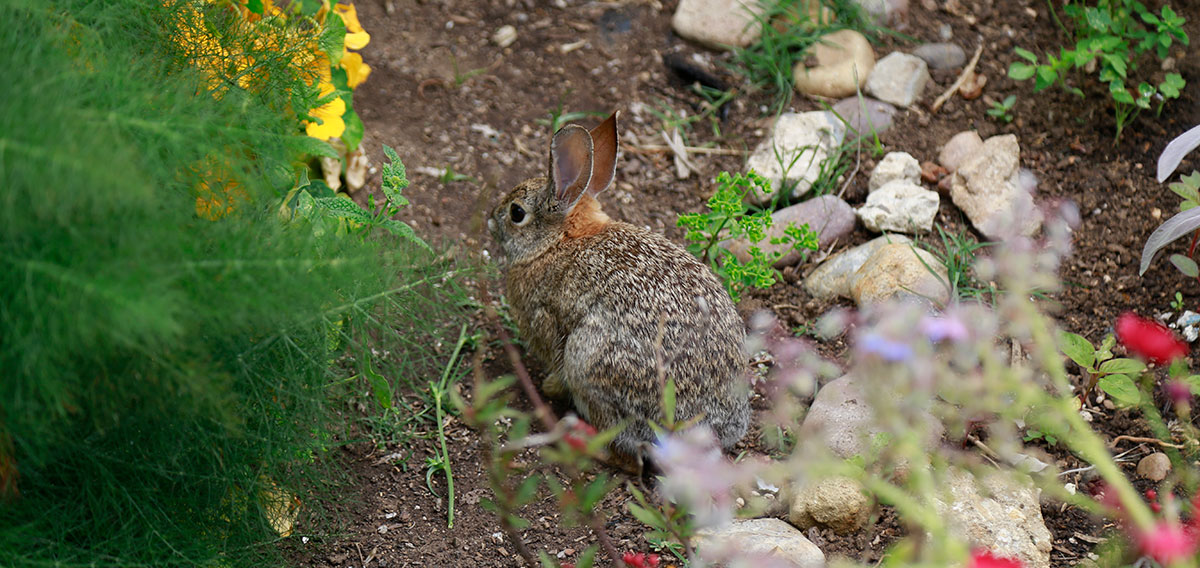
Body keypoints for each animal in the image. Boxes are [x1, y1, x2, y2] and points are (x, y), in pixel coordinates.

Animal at [482, 111, 744, 461]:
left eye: (516, 212)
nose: (490, 219)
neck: (556, 242)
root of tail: (709, 427)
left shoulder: (548, 324)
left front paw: (550, 387)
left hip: (588, 361)